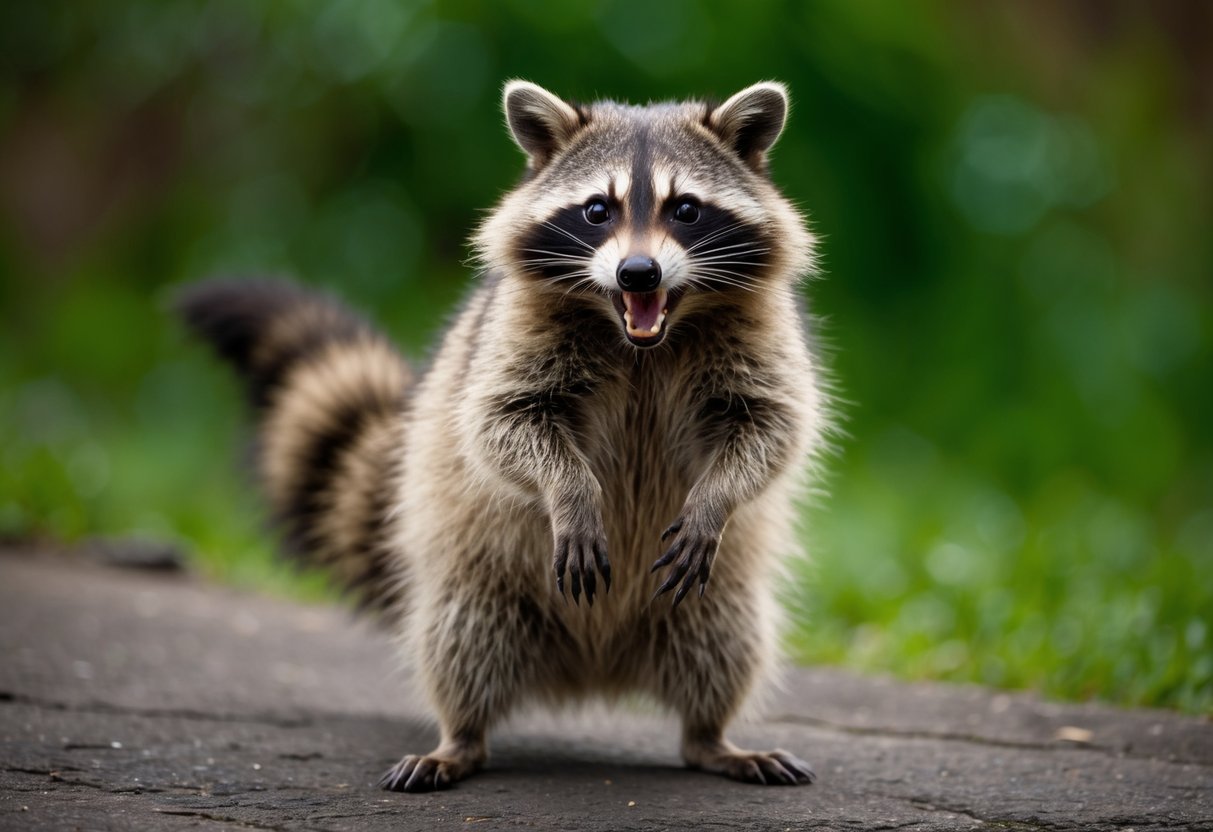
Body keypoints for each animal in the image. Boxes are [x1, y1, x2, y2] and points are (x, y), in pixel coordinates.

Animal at [176, 80, 829, 792]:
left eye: (686, 209)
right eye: (597, 210)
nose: (639, 273)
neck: (643, 340)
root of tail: (596, 669)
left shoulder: (761, 331)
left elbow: (772, 426)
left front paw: (715, 499)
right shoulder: (510, 330)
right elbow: (500, 423)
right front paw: (569, 493)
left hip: (711, 601)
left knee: (727, 645)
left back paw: (711, 736)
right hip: (477, 582)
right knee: (460, 643)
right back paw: (460, 736)